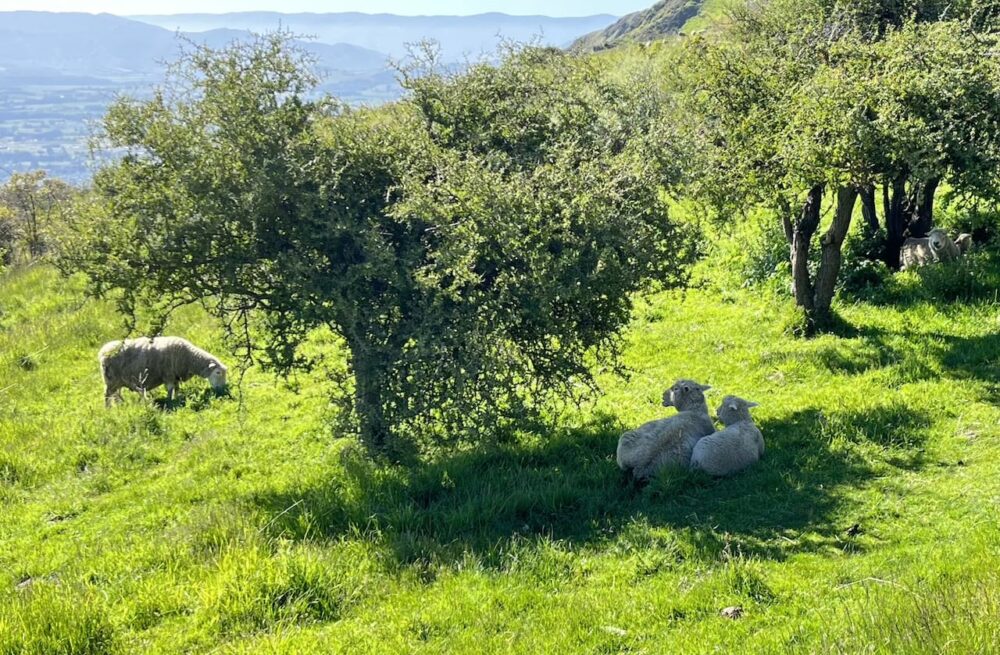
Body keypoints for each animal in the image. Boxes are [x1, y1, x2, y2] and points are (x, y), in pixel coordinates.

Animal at [98, 336, 229, 408]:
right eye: (218, 373)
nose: (222, 389)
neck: (188, 358)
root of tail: (103, 351)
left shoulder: (175, 376)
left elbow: (177, 389)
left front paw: (177, 398)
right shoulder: (168, 375)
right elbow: (170, 389)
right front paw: (170, 401)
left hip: (117, 381)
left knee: (115, 395)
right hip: (111, 380)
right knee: (107, 395)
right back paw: (108, 409)